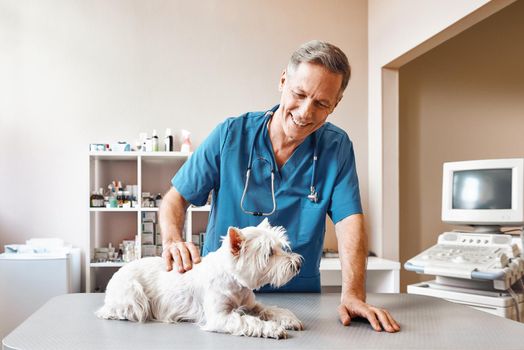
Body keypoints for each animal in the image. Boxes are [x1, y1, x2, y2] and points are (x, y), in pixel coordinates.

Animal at [96, 219, 304, 340]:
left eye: (280, 246)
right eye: (269, 253)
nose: (298, 264)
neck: (236, 282)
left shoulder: (251, 304)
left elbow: (269, 310)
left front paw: (289, 320)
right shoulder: (220, 317)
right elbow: (249, 321)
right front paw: (274, 329)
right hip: (133, 295)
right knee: (119, 310)